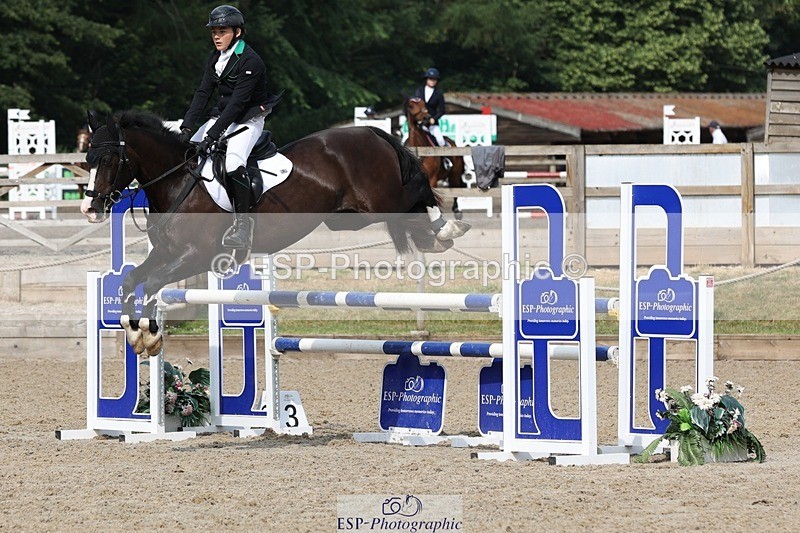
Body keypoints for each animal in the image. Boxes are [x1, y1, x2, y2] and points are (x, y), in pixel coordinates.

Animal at [82, 111, 470, 356]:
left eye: (108, 159)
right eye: (88, 158)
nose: (91, 207)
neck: (178, 181)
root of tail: (369, 131)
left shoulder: (196, 255)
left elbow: (152, 283)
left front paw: (149, 337)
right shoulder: (166, 253)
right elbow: (131, 280)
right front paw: (135, 335)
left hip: (381, 201)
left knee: (417, 190)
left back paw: (447, 228)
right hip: (347, 217)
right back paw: (438, 236)